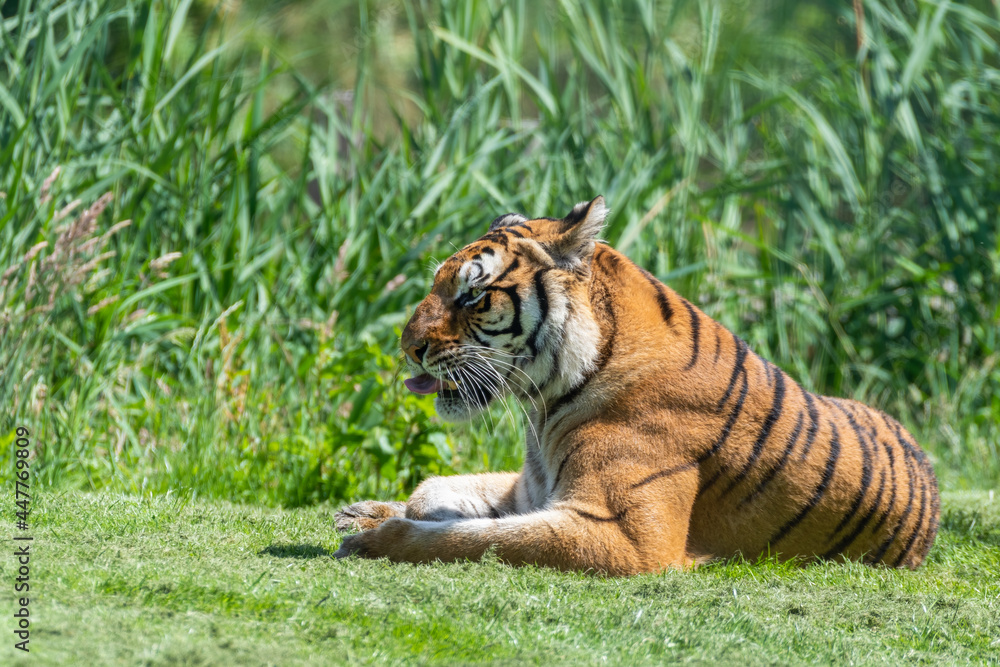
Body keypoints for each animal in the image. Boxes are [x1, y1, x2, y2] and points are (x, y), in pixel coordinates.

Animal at [333, 196, 940, 574]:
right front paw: (364, 513)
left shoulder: (624, 535)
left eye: (474, 295)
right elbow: (434, 491)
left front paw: (371, 540)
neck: (546, 404)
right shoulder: (531, 490)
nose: (407, 345)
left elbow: (475, 538)